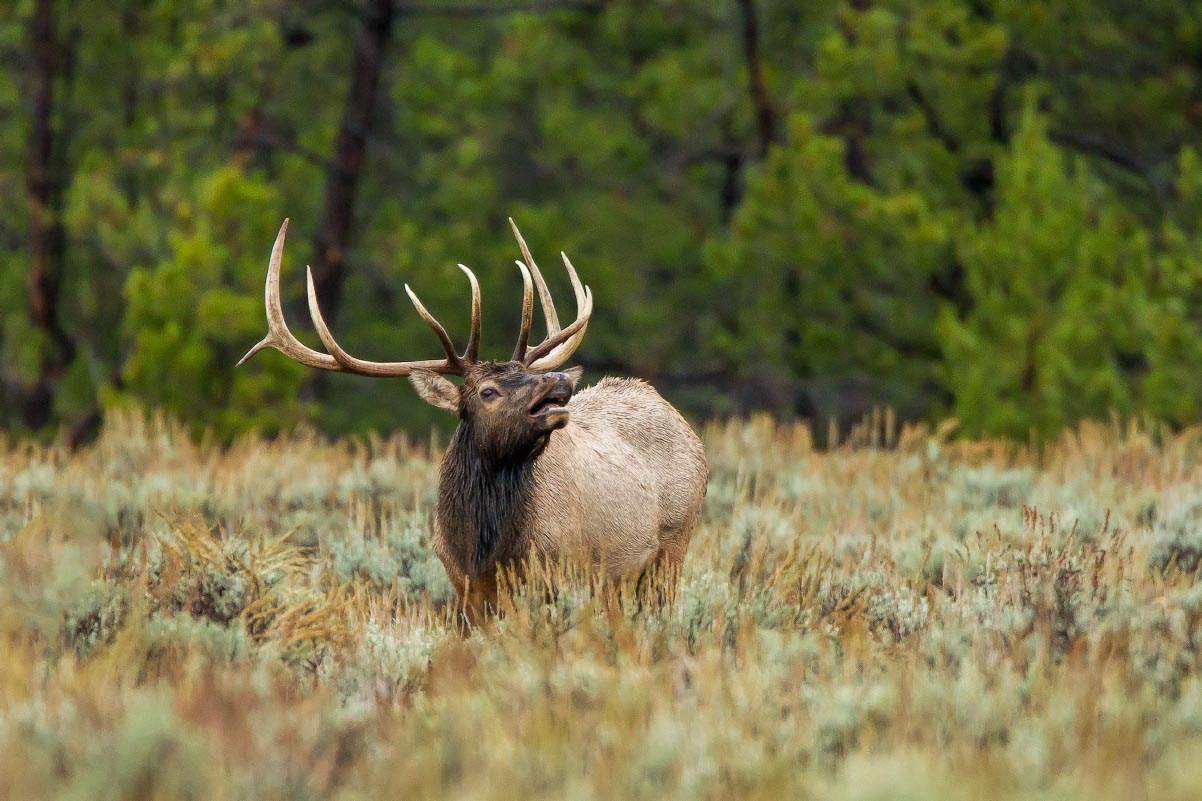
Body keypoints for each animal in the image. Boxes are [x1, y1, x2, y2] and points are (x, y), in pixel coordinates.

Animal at [240, 218, 706, 615]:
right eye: (488, 391)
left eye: (526, 373)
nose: (557, 380)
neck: (486, 550)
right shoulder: (465, 586)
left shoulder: (561, 574)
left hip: (673, 545)